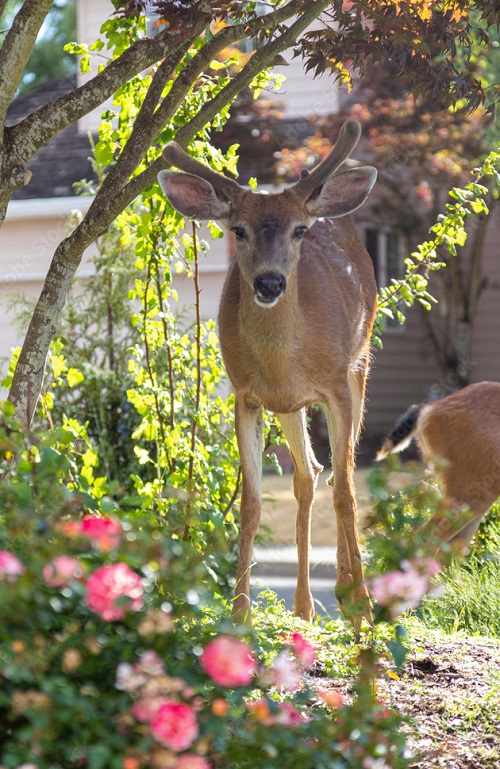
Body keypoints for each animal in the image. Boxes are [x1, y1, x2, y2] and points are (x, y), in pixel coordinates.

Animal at [158, 120, 376, 632]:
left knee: (341, 476)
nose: (270, 281)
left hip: (361, 363)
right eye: (238, 229)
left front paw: (362, 608)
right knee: (309, 474)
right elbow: (252, 503)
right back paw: (305, 605)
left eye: (299, 231)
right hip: (291, 408)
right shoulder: (246, 395)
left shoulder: (336, 385)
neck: (284, 361)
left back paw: (347, 591)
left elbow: (347, 493)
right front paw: (239, 613)